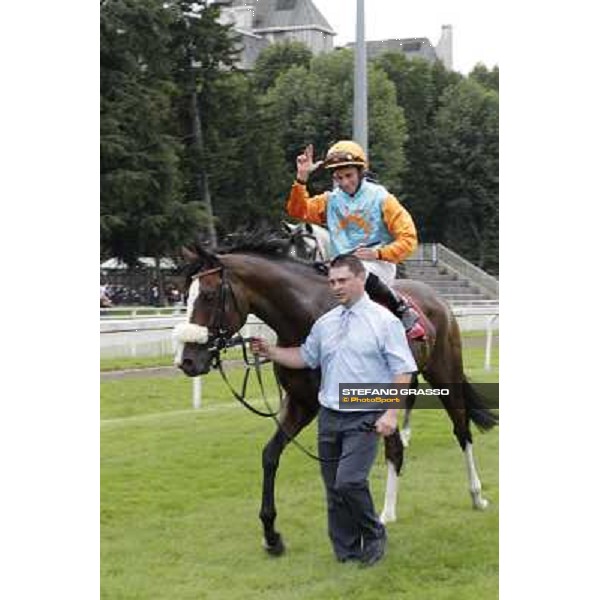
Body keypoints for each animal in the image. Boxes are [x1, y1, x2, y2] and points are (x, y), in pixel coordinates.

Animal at [173, 237, 496, 556]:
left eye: (209, 295)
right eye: (184, 295)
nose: (186, 361)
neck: (305, 318)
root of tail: (436, 298)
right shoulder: (301, 403)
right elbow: (271, 455)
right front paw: (271, 534)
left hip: (444, 374)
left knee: (460, 431)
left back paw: (471, 495)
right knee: (397, 447)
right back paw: (390, 508)